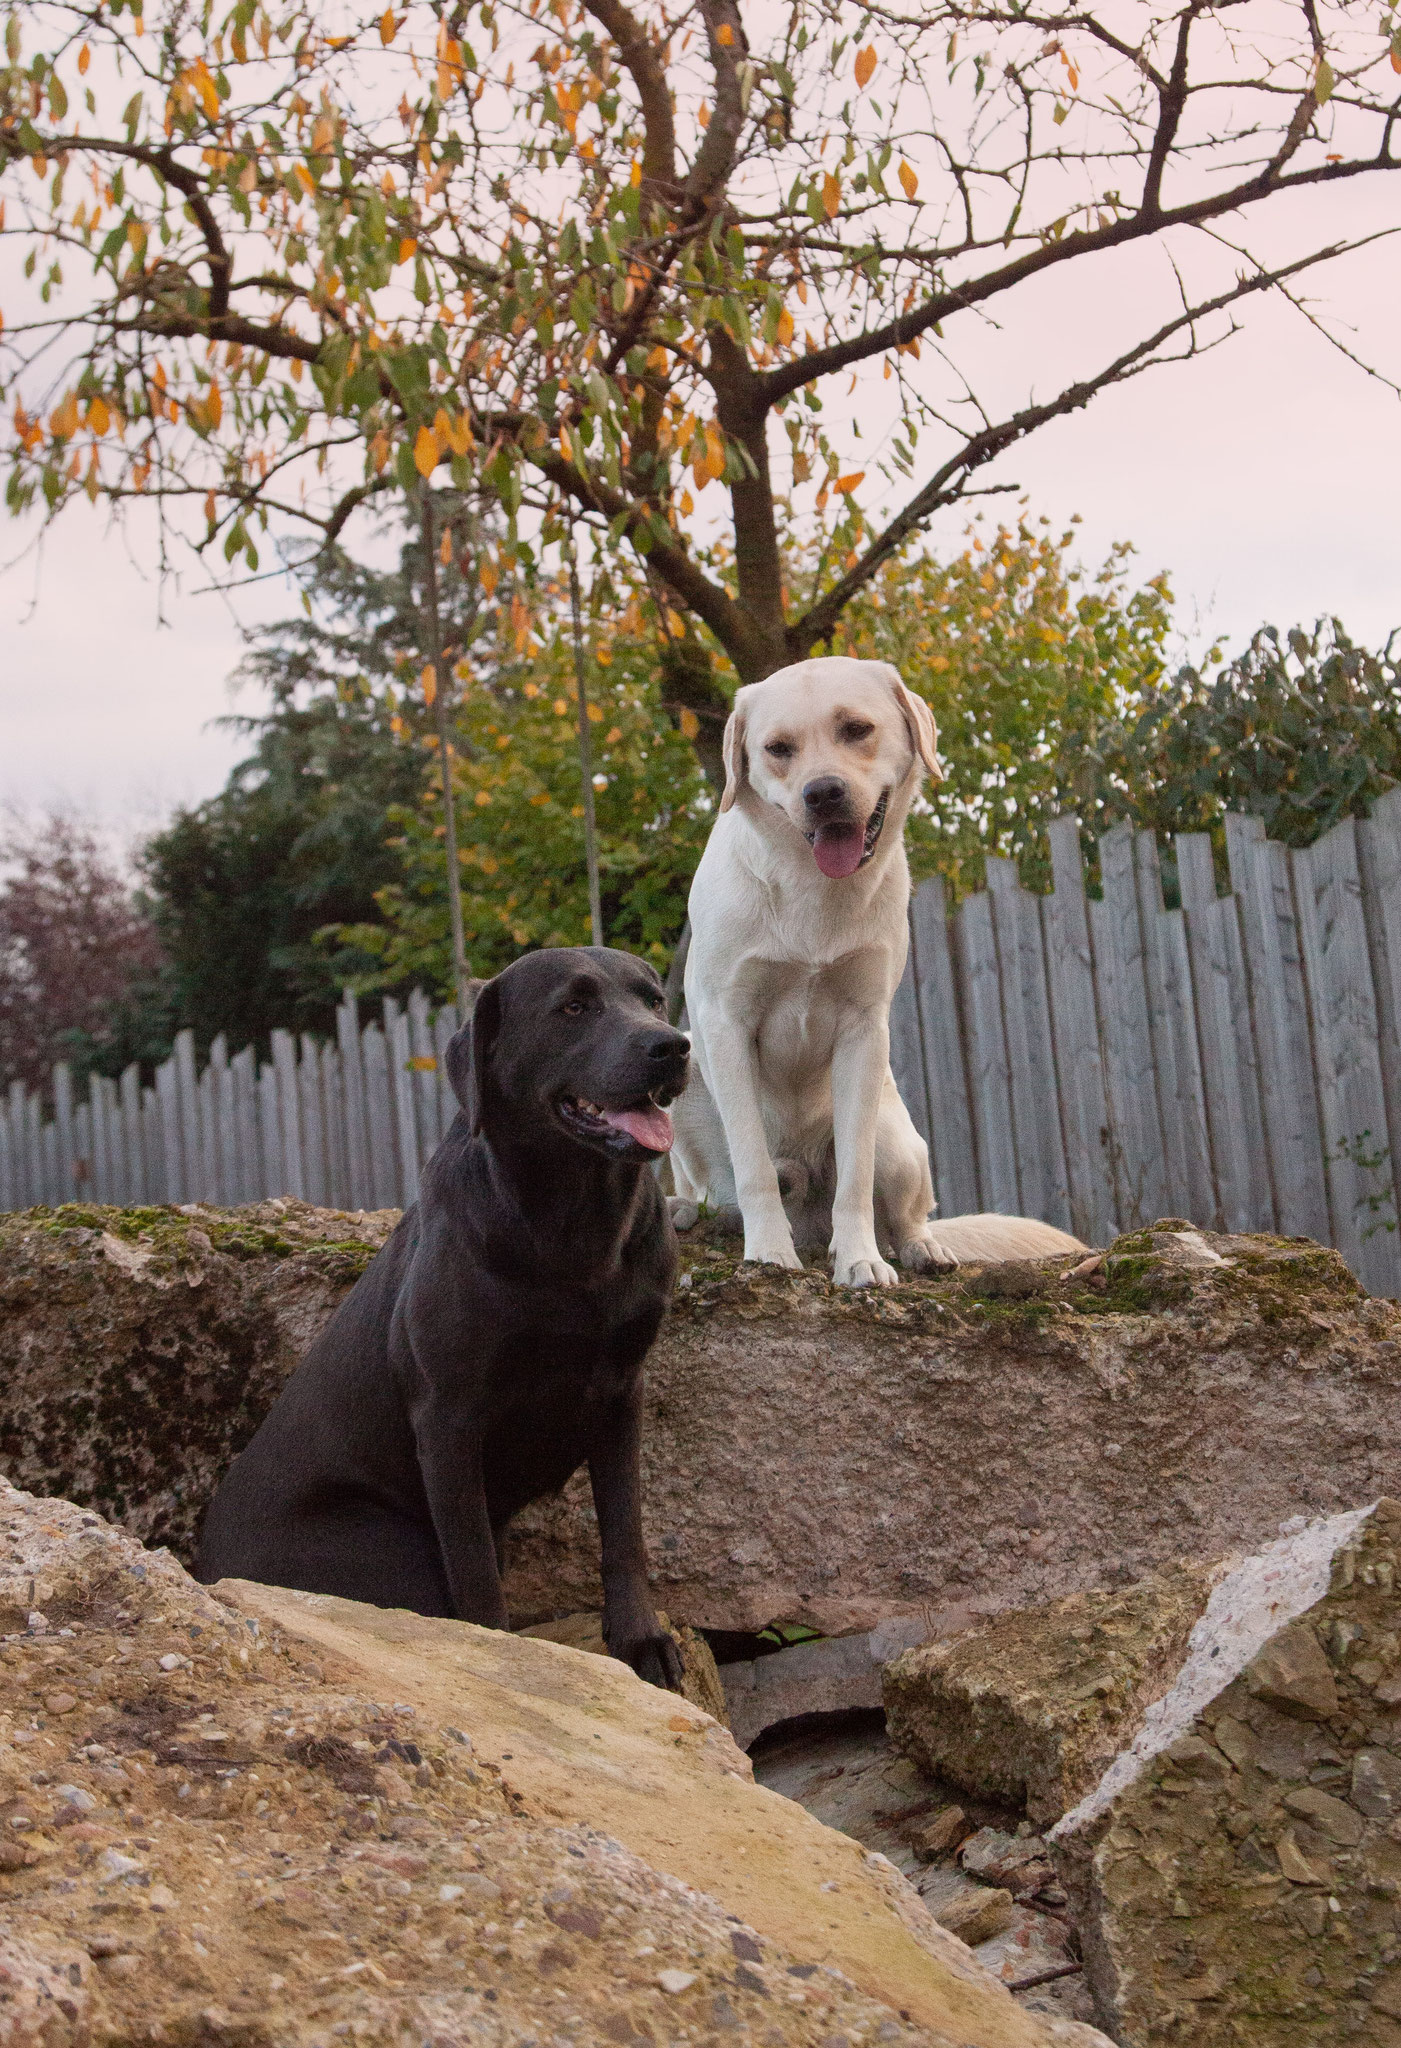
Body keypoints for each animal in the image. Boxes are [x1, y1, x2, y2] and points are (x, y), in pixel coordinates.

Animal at [199, 950, 692, 1687]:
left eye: (653, 999)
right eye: (574, 1007)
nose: (672, 1046)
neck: (574, 1228)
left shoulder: (621, 1391)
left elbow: (623, 1529)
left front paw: (640, 1640)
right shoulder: (449, 1418)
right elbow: (474, 1570)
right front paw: (499, 1655)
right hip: (389, 1544)